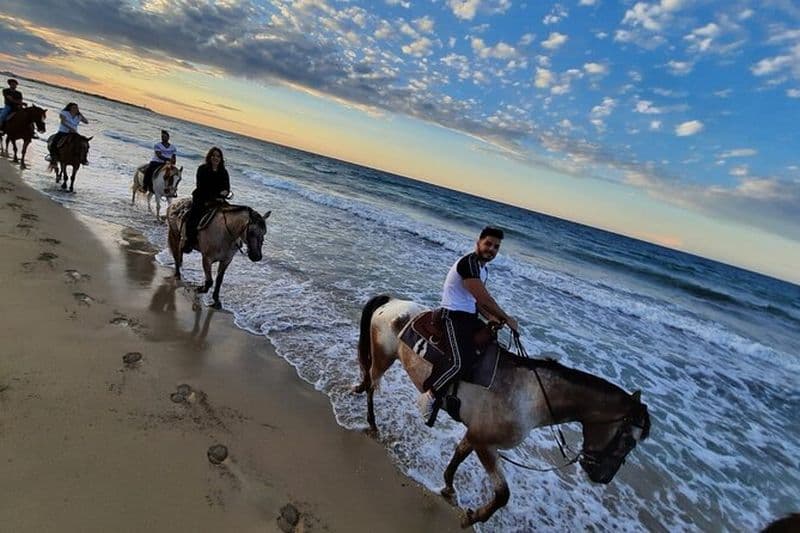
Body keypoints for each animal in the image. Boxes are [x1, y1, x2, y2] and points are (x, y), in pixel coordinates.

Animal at [355, 295, 652, 528]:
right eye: (628, 440)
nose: (603, 477)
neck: (531, 397)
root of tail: (393, 302)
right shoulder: (486, 444)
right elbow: (502, 495)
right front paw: (472, 517)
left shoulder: (474, 435)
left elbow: (457, 459)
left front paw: (449, 488)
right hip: (383, 357)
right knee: (372, 385)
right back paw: (372, 422)